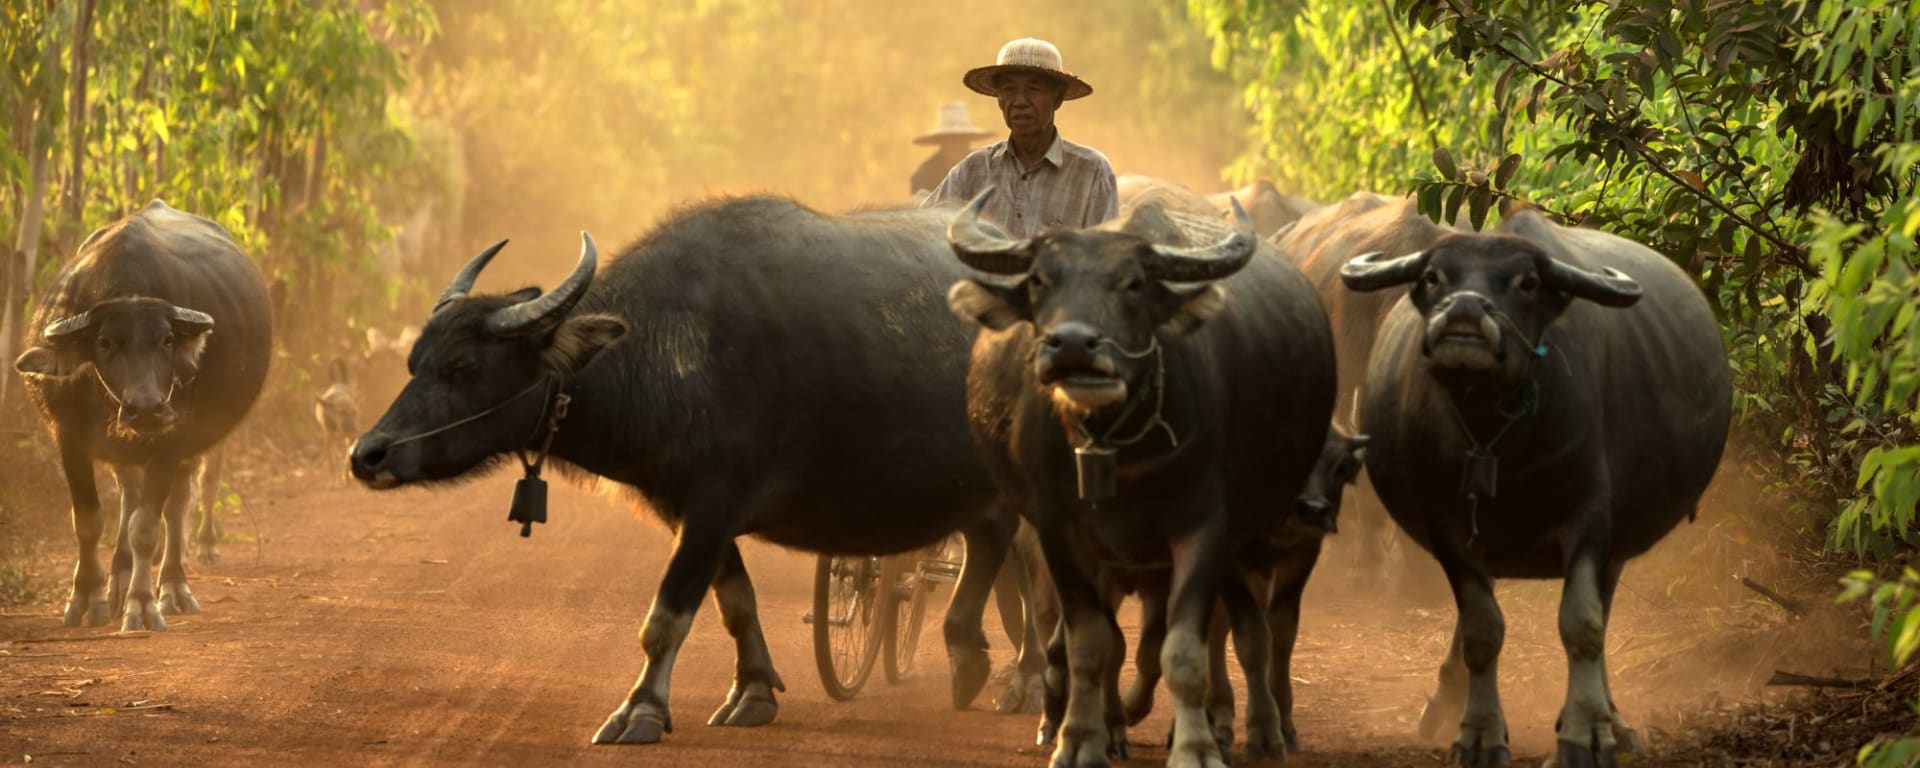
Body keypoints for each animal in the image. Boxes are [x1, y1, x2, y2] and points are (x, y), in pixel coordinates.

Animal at [13, 197, 274, 629]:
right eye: (104, 342)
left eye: (166, 340)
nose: (147, 409)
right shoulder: (68, 435)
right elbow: (88, 521)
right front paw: (87, 596)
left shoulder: (173, 439)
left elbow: (148, 527)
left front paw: (141, 603)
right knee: (129, 494)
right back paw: (118, 580)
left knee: (176, 505)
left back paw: (172, 586)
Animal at [351, 196, 1029, 744]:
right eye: (414, 361)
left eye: (464, 367)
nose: (368, 454)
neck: (667, 355)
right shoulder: (692, 511)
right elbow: (736, 603)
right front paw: (752, 692)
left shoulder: (712, 505)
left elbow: (666, 617)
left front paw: (640, 712)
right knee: (993, 543)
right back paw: (970, 658)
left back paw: (1023, 681)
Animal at [944, 187, 1336, 768]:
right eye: (1039, 279)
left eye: (1134, 284)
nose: (1072, 345)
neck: (1117, 449)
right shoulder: (1059, 531)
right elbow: (1089, 644)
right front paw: (1079, 740)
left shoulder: (1204, 531)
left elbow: (1181, 650)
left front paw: (1195, 746)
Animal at [1336, 210, 1743, 768]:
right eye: (1434, 278)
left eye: (1527, 282)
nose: (1464, 310)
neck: (1501, 440)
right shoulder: (1448, 526)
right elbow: (1482, 629)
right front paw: (1479, 734)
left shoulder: (1591, 519)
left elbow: (1583, 625)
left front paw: (1586, 732)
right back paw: (1446, 703)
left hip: (1616, 543)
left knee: (1602, 612)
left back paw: (1616, 722)